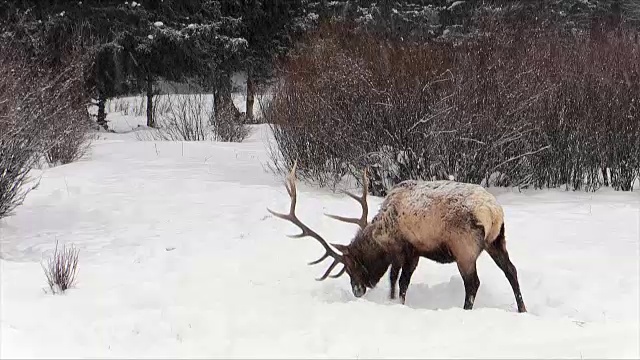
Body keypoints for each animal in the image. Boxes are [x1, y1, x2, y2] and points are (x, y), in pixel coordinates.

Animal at [268, 162, 528, 314]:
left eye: (352, 267)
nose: (357, 292)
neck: (383, 234)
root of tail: (493, 212)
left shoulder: (406, 249)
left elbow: (399, 280)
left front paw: (396, 302)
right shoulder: (412, 252)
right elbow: (397, 279)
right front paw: (392, 299)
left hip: (464, 247)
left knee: (473, 282)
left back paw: (466, 310)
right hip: (497, 240)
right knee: (511, 271)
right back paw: (522, 309)